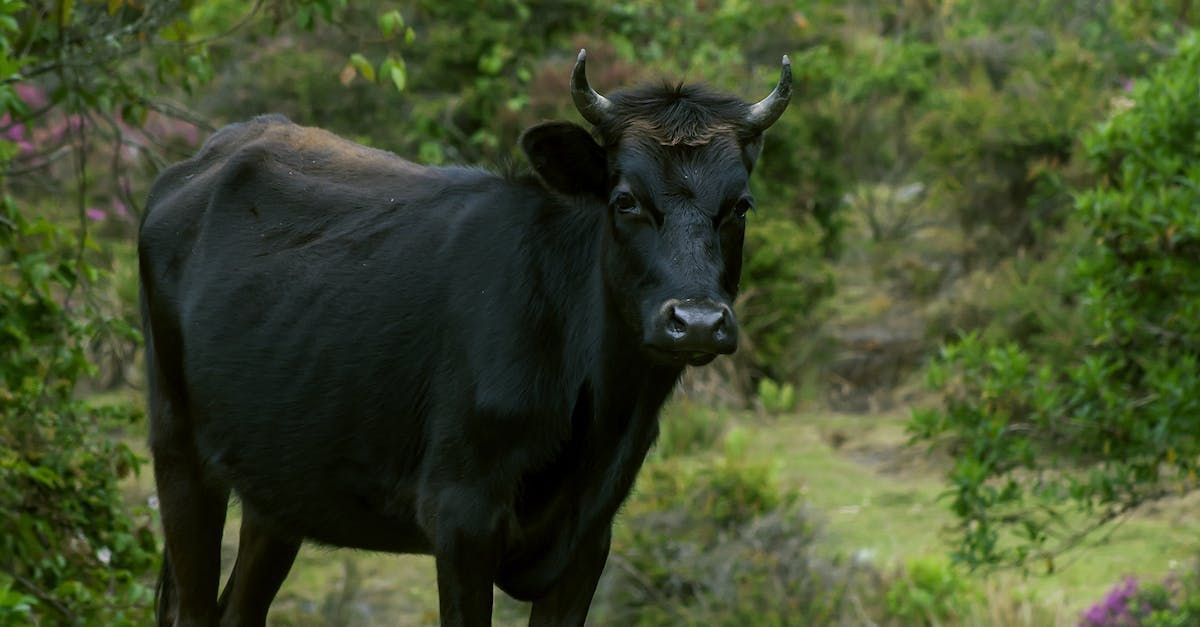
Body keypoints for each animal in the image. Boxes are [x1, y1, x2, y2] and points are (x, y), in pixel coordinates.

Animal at [140, 50, 792, 624]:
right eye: (626, 199)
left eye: (741, 205)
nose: (697, 320)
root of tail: (216, 151)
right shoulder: (461, 518)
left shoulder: (589, 542)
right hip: (178, 448)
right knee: (191, 607)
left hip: (278, 483)